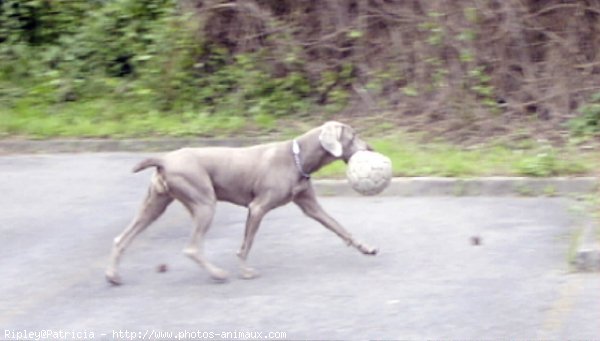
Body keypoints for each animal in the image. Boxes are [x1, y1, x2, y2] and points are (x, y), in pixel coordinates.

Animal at [103, 120, 376, 284]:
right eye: (354, 135)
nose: (372, 148)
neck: (298, 158)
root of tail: (165, 159)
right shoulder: (257, 208)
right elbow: (246, 245)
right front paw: (245, 271)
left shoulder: (310, 205)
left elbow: (339, 226)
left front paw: (366, 247)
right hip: (204, 203)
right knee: (192, 248)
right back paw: (218, 273)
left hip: (155, 204)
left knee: (120, 238)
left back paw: (113, 275)